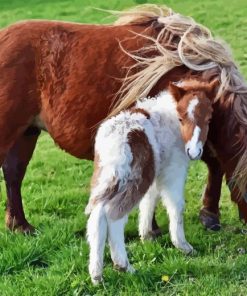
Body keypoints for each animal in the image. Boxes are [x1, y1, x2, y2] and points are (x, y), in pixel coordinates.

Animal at [0, 4, 247, 234]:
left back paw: (19, 225)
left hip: (27, 131)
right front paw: (152, 228)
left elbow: (215, 163)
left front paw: (209, 215)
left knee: (13, 173)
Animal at [86, 79, 217, 284]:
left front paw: (146, 236)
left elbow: (149, 201)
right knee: (113, 214)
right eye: (181, 118)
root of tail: (117, 140)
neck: (170, 120)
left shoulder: (156, 172)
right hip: (135, 178)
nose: (194, 152)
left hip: (107, 177)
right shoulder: (173, 170)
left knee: (98, 215)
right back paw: (124, 266)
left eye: (209, 120)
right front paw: (183, 246)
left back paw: (97, 275)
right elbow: (176, 206)